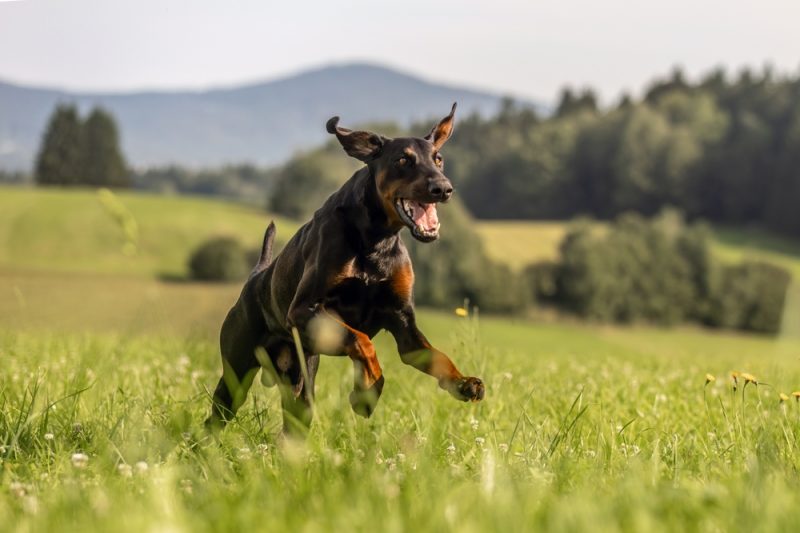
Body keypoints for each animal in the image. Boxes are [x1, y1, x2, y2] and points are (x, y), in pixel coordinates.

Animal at [206, 103, 484, 432]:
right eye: (403, 159)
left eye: (438, 159)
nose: (443, 188)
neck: (376, 239)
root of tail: (257, 276)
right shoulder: (303, 311)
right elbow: (362, 341)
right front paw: (367, 392)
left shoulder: (404, 324)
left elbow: (437, 358)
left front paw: (464, 382)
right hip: (237, 371)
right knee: (216, 416)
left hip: (301, 381)